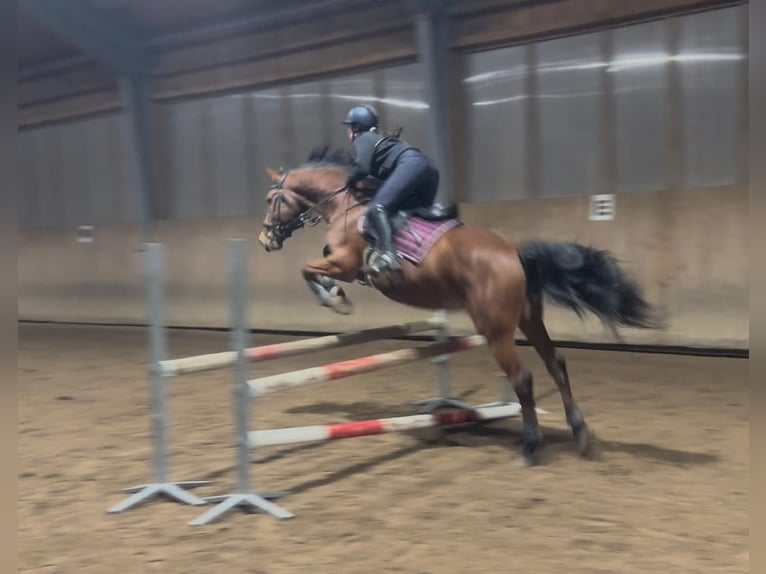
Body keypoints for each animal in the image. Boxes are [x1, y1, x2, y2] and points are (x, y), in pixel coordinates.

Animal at [257, 147, 661, 466]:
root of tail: (515, 253)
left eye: (270, 199)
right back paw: (579, 433)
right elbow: (314, 264)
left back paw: (531, 447)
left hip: (495, 329)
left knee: (523, 378)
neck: (347, 205)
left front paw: (335, 300)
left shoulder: (345, 263)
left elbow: (309, 269)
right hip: (528, 321)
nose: (264, 239)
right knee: (556, 364)